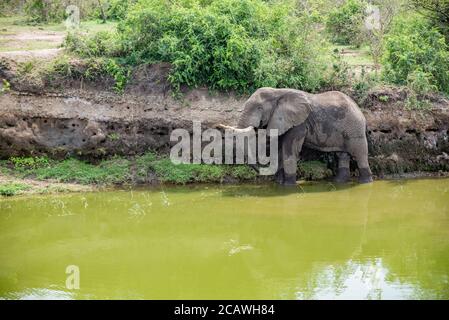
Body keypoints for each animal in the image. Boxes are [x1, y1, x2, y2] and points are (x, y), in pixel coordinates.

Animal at [219, 87, 372, 186]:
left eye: (259, 108)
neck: (277, 92)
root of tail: (361, 112)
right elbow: (280, 149)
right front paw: (279, 183)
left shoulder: (298, 123)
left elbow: (289, 150)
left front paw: (288, 185)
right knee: (342, 155)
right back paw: (339, 182)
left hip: (355, 129)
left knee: (360, 154)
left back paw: (365, 183)